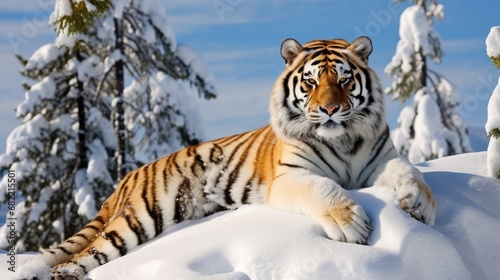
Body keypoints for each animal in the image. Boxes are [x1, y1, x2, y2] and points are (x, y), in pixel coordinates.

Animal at [18, 36, 434, 280]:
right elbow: (324, 189)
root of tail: (127, 177)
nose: (330, 109)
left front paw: (420, 205)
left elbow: (409, 171)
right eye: (311, 82)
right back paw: (65, 274)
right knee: (84, 254)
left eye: (345, 81)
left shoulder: (381, 159)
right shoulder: (290, 176)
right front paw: (351, 225)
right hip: (139, 218)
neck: (344, 140)